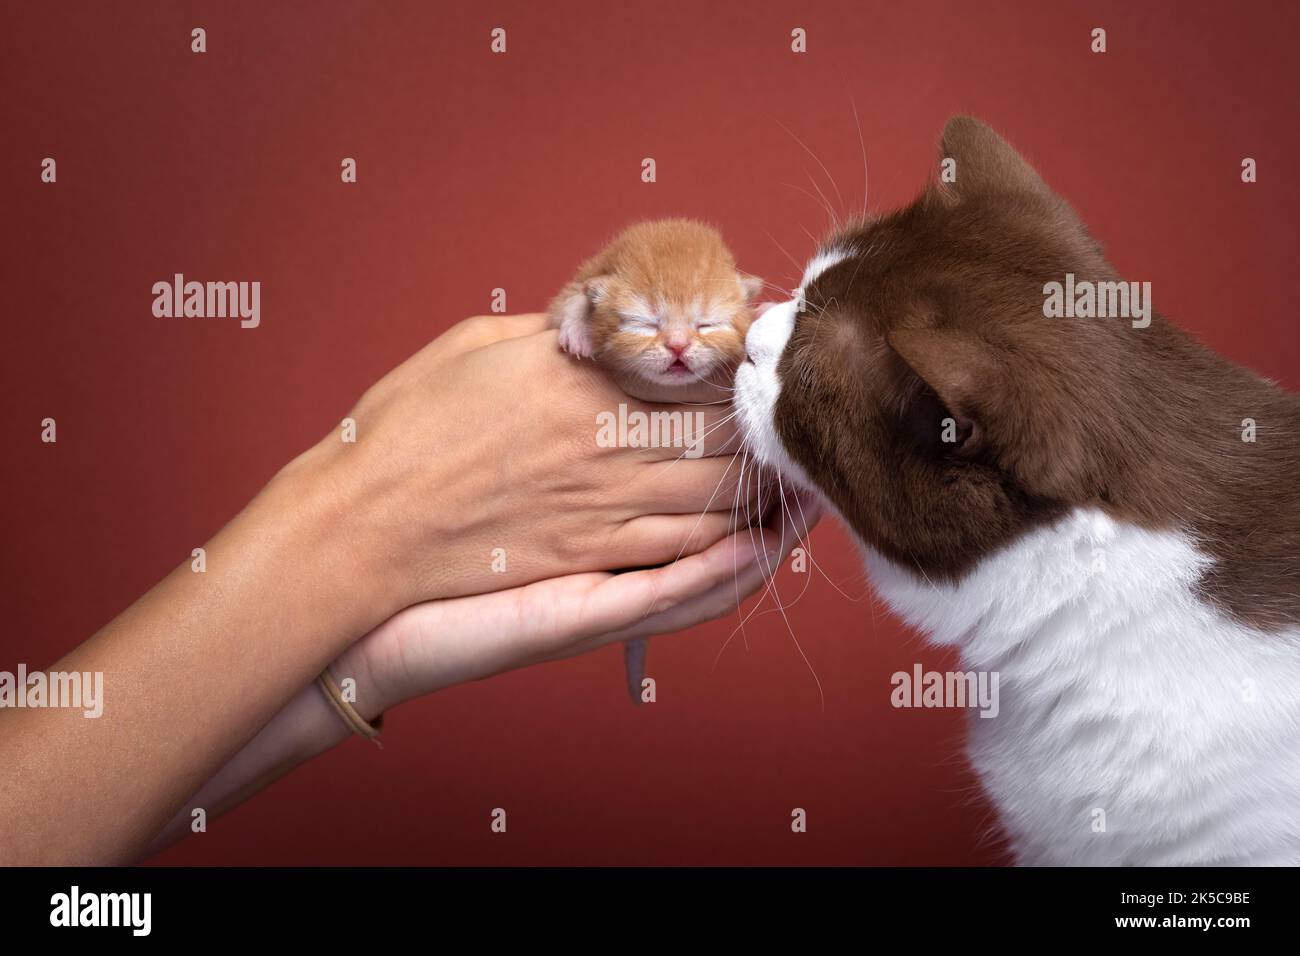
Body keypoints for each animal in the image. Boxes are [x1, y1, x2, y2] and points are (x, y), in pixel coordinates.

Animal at [548, 221, 759, 707]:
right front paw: (578, 328)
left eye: (706, 323)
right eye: (645, 323)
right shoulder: (576, 283)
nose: (678, 346)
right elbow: (570, 299)